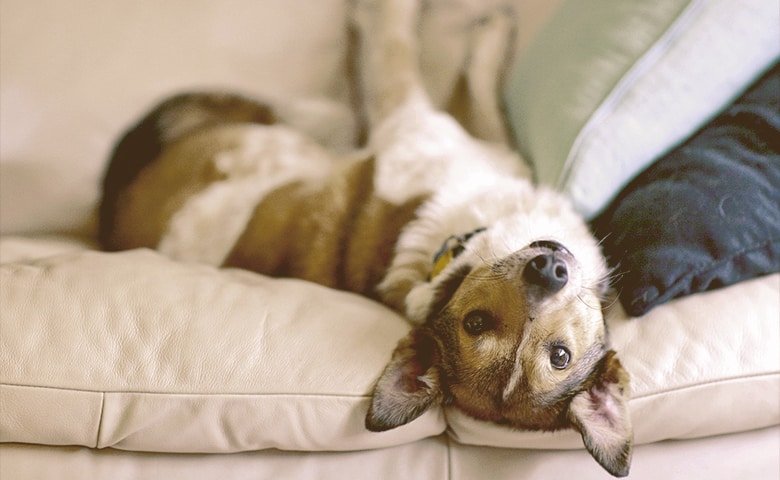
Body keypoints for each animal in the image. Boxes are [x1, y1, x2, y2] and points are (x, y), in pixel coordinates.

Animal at [99, 0, 632, 474]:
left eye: (559, 355)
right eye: (477, 323)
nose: (550, 270)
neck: (448, 255)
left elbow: (426, 66)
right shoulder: (433, 126)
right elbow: (415, 56)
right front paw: (484, 31)